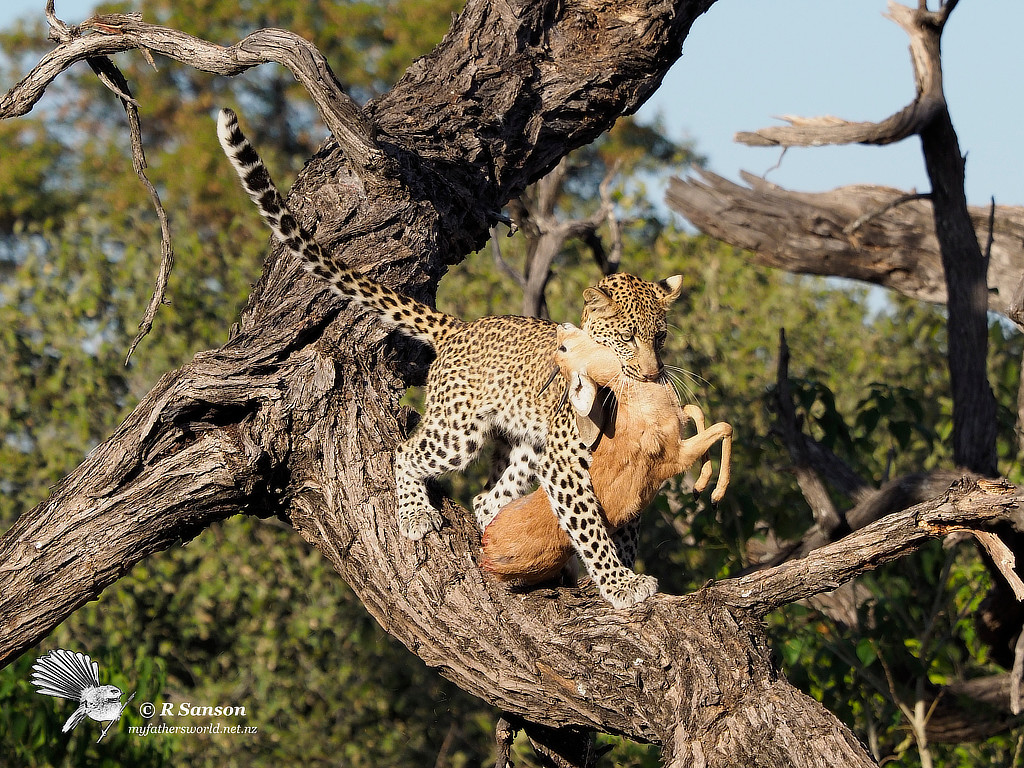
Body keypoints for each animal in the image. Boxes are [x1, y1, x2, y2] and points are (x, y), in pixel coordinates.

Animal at [216, 109, 679, 614]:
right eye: (628, 338)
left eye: (660, 337)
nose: (653, 373)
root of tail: (460, 327)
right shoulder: (565, 463)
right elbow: (591, 527)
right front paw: (619, 585)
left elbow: (625, 521)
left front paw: (624, 576)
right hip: (460, 430)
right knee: (405, 454)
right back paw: (416, 514)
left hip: (523, 446)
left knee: (484, 499)